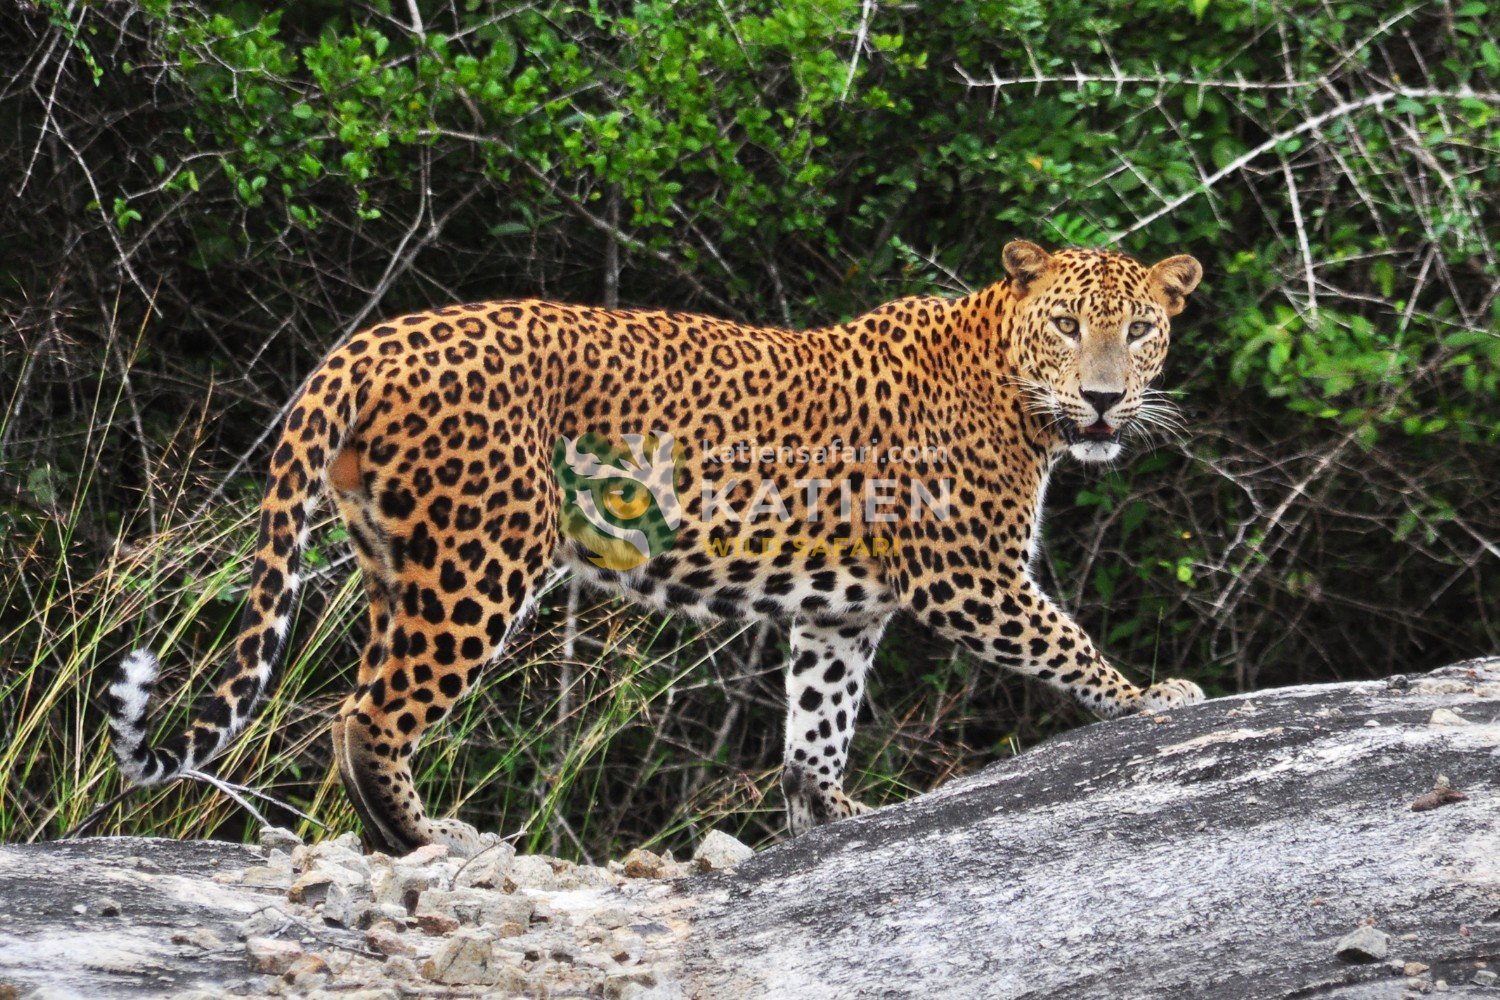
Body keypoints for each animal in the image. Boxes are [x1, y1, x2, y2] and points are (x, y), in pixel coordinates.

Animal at [107, 240, 1205, 855]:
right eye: (1067, 325)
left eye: (1142, 329)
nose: (1104, 398)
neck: (1019, 394)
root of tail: (368, 341)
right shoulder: (967, 572)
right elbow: (1064, 640)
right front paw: (1154, 697)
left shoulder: (842, 610)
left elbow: (817, 724)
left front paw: (829, 816)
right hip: (482, 557)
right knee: (370, 714)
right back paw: (428, 839)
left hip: (399, 564)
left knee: (362, 700)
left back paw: (400, 839)